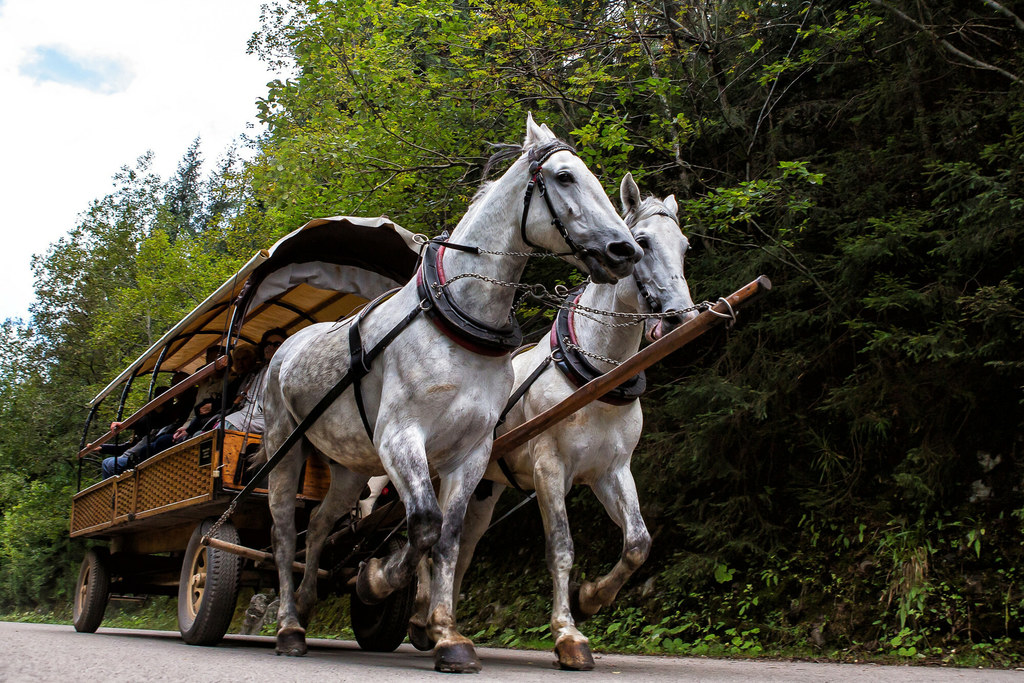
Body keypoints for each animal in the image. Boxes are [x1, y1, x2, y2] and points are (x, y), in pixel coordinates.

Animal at [260, 116, 638, 671]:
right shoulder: (400, 438)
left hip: (351, 465)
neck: (458, 319)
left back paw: (308, 601)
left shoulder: (472, 452)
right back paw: (289, 625)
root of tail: (286, 346)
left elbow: (450, 538)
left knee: (325, 522)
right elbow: (424, 524)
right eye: (565, 177)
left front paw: (445, 633)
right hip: (284, 447)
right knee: (285, 533)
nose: (624, 251)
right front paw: (377, 582)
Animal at [432, 174, 696, 671]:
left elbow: (638, 542)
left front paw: (592, 597)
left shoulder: (612, 471)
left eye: (685, 246)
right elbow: (561, 547)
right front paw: (569, 635)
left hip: (483, 488)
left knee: (461, 547)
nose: (679, 318)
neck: (595, 377)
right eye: (643, 242)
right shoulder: (549, 469)